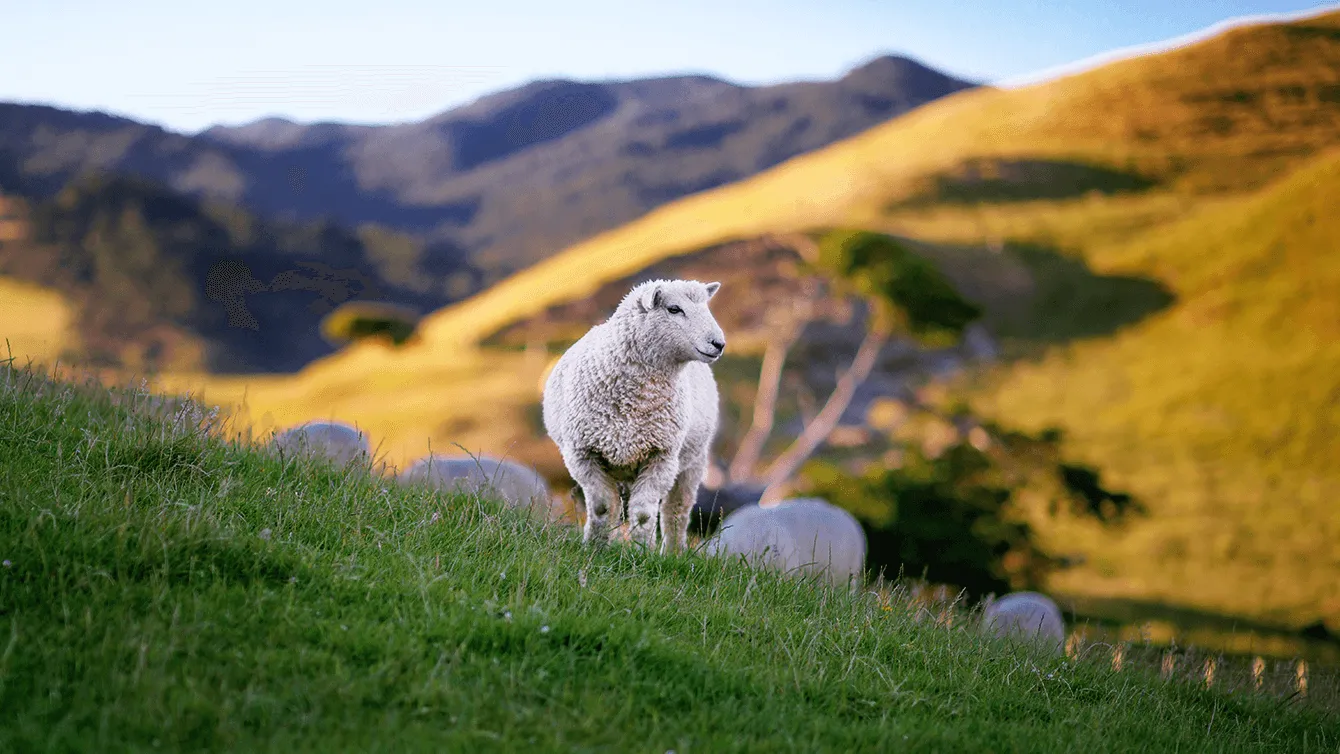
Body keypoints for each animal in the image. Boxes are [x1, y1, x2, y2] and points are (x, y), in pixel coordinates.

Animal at [541, 277, 728, 554]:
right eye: (674, 309)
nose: (719, 344)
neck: (633, 403)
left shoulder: (661, 456)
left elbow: (643, 514)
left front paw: (642, 553)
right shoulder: (582, 454)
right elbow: (602, 506)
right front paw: (594, 548)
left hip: (693, 461)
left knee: (677, 511)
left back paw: (673, 553)